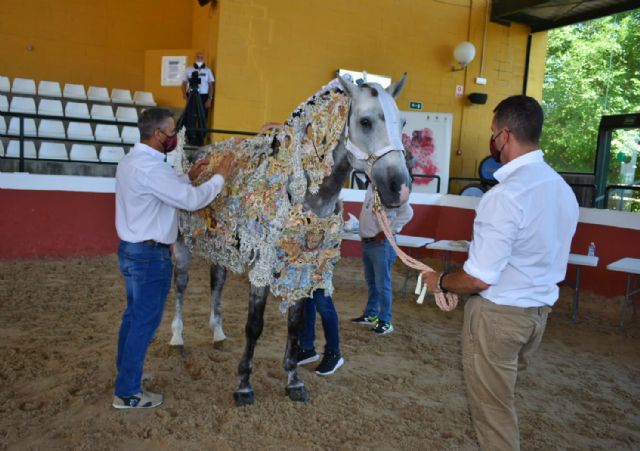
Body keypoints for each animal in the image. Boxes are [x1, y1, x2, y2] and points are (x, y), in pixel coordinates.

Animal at [170, 75, 410, 406]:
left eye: (403, 122)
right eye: (365, 121)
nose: (399, 187)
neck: (300, 193)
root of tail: (198, 156)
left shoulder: (303, 268)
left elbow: (295, 325)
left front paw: (294, 381)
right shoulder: (261, 269)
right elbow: (254, 326)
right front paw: (244, 385)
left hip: (222, 250)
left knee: (216, 284)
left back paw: (218, 334)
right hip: (182, 246)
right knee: (180, 287)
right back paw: (176, 338)